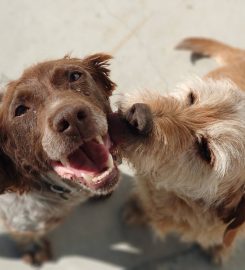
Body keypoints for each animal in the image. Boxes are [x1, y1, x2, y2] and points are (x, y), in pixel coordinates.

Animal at [0, 52, 119, 264]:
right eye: (20, 110)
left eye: (74, 76)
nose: (70, 118)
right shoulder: (19, 221)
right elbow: (25, 236)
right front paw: (33, 248)